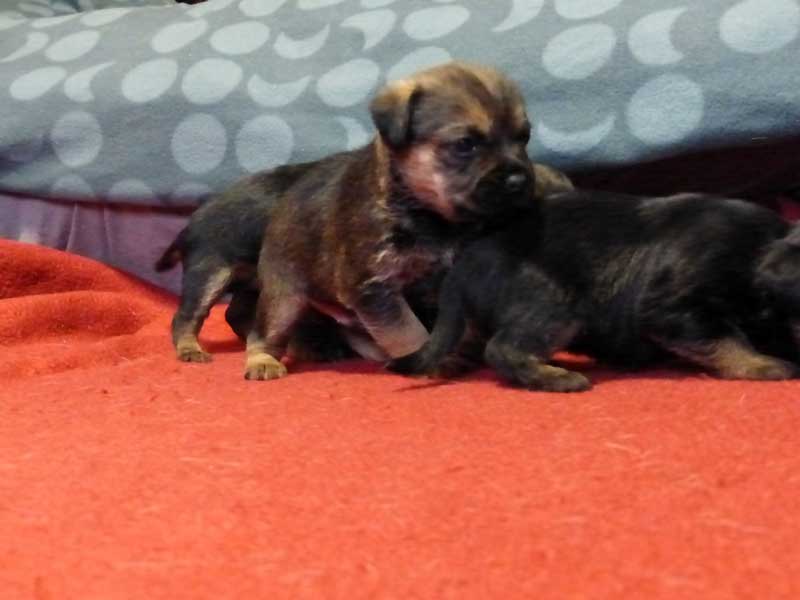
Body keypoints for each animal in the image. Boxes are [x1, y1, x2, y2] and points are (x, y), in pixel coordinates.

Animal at [241, 61, 570, 380]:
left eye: (523, 137)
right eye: (465, 144)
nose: (519, 181)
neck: (434, 217)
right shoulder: (375, 287)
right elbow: (408, 331)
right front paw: (429, 361)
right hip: (284, 297)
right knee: (264, 333)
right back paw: (263, 360)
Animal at [388, 191, 800, 391]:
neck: (759, 249)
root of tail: (464, 263)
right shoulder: (676, 307)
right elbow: (726, 338)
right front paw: (762, 364)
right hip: (555, 304)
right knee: (503, 348)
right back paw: (555, 378)